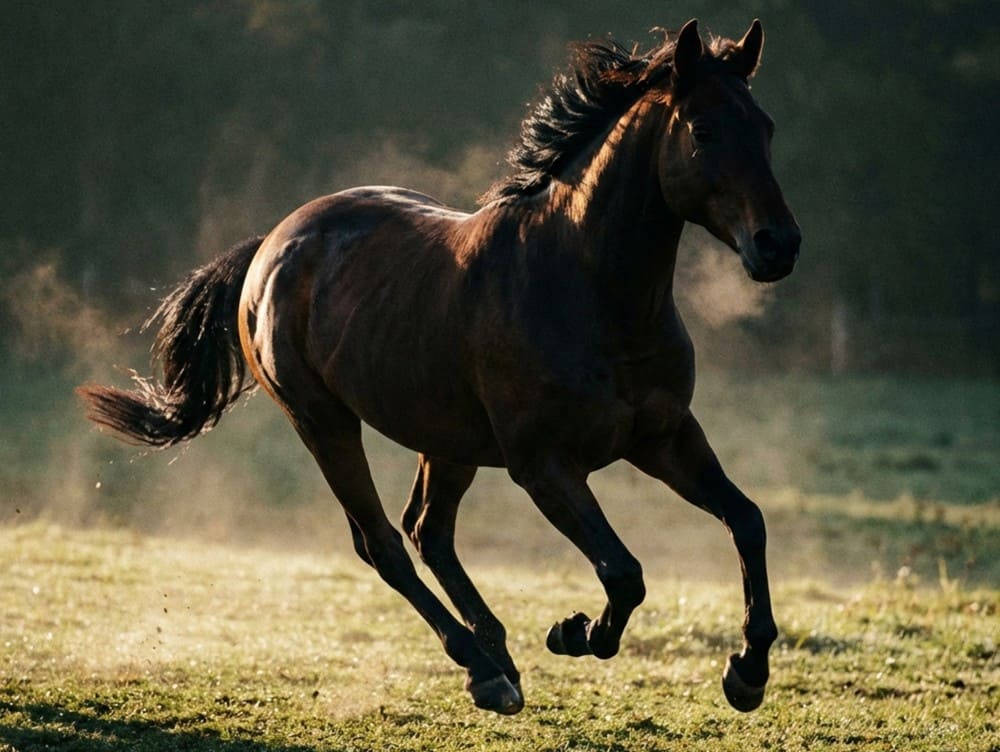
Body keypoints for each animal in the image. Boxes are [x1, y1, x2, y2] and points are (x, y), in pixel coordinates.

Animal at [78, 19, 800, 715]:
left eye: (766, 127)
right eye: (704, 129)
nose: (779, 245)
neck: (588, 289)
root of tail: (271, 247)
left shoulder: (664, 438)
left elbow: (747, 521)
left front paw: (748, 673)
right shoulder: (542, 463)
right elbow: (623, 571)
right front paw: (575, 632)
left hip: (445, 440)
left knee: (428, 531)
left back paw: (499, 660)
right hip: (323, 422)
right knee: (382, 543)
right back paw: (485, 670)